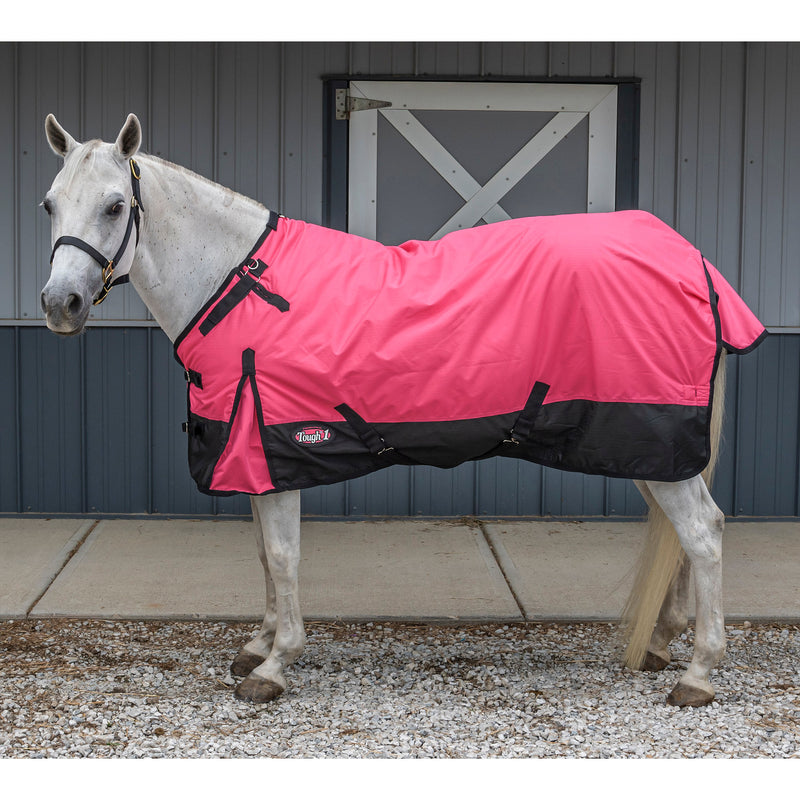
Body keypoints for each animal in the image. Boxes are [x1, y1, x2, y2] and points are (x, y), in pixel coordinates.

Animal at [40, 112, 749, 708]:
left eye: (115, 204)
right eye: (49, 203)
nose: (59, 304)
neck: (240, 285)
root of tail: (690, 258)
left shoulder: (272, 447)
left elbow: (283, 556)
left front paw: (276, 665)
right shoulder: (254, 456)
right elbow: (264, 556)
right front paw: (259, 644)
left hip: (655, 441)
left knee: (704, 534)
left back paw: (699, 672)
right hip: (647, 450)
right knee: (681, 537)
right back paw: (661, 644)